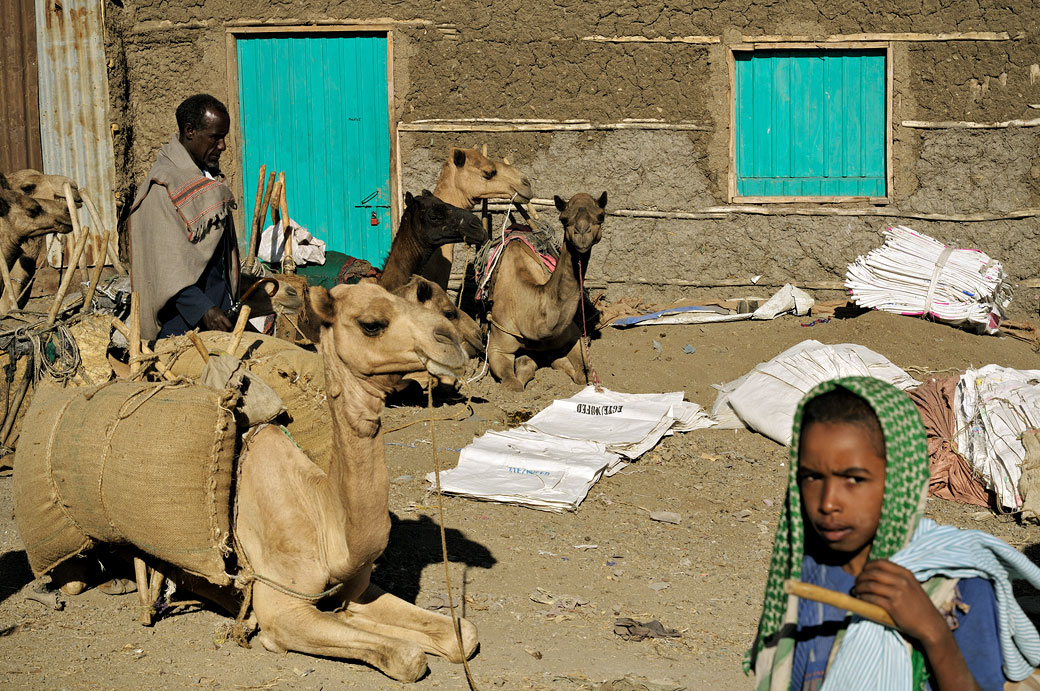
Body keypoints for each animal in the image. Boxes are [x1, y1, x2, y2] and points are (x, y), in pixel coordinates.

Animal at [486, 191, 607, 391]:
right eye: (563, 219)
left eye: (601, 216)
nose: (582, 234)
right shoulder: (497, 346)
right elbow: (513, 384)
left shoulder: (573, 336)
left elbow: (583, 374)